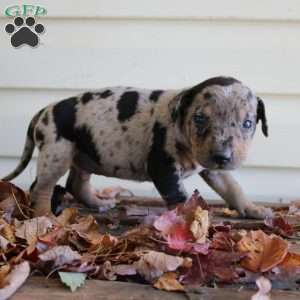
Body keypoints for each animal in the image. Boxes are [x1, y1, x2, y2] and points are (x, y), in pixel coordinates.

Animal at [1, 77, 272, 218]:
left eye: (248, 123)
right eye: (200, 118)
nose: (222, 156)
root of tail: (44, 111)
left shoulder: (214, 169)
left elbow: (233, 188)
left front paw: (253, 209)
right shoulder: (163, 167)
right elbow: (181, 200)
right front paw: (192, 227)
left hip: (84, 153)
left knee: (75, 184)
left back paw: (98, 204)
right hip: (56, 154)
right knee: (40, 188)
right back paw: (44, 216)